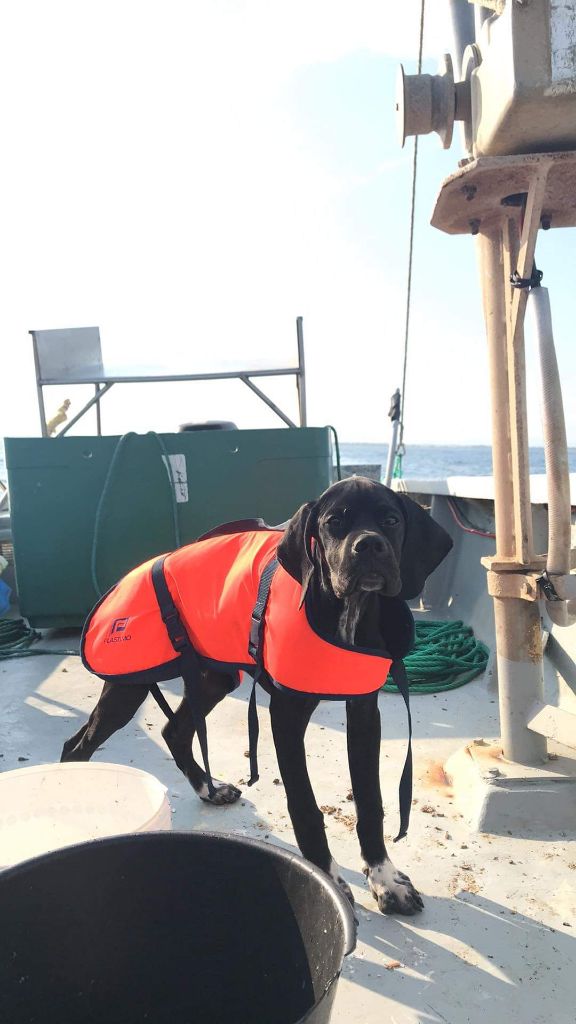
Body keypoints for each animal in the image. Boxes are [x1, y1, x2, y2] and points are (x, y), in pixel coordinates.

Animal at [60, 481, 450, 921]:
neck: (345, 611)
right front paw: (329, 880)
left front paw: (386, 880)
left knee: (174, 730)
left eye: (391, 520)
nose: (368, 546)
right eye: (334, 522)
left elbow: (370, 802)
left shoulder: (365, 711)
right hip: (129, 687)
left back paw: (208, 789)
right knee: (76, 747)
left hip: (214, 677)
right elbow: (305, 806)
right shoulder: (286, 714)